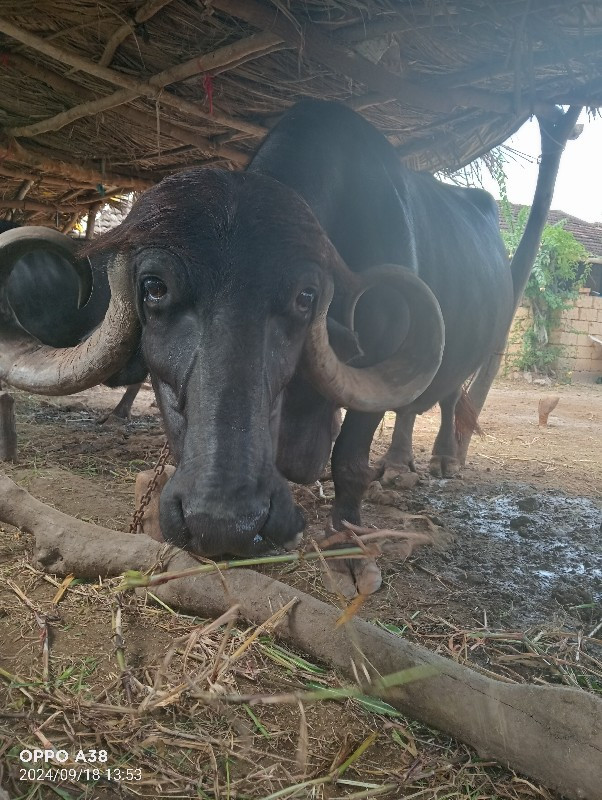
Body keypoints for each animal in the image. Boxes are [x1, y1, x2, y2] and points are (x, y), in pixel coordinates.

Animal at [0, 100, 510, 592]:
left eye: (305, 297)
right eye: (154, 288)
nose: (224, 524)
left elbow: (349, 459)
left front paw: (347, 552)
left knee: (444, 397)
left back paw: (434, 460)